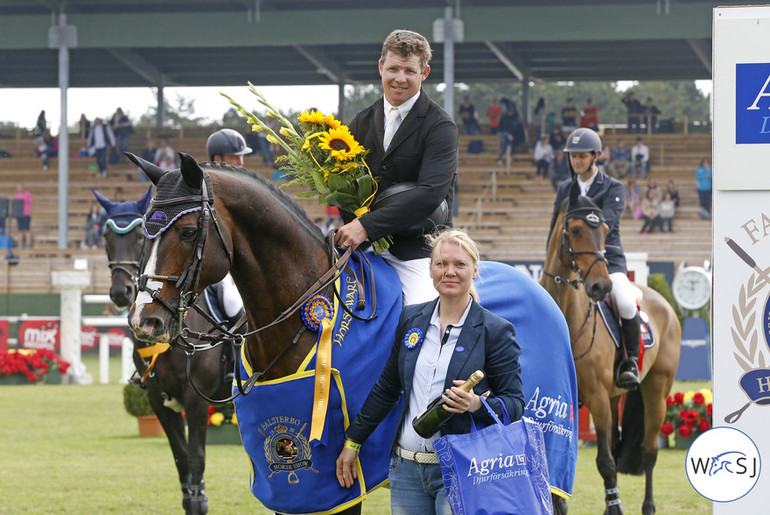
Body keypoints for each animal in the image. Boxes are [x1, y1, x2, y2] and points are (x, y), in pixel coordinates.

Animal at [95, 187, 240, 512]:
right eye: (106, 238)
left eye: (140, 237)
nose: (120, 292)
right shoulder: (157, 398)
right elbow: (181, 458)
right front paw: (191, 500)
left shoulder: (196, 400)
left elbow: (197, 457)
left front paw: (199, 502)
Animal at [536, 191, 680, 512]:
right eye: (576, 230)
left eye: (604, 230)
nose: (602, 286)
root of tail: (662, 301)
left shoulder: (597, 398)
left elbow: (605, 462)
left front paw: (616, 507)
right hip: (616, 397)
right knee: (615, 443)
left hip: (657, 389)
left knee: (647, 450)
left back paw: (646, 506)